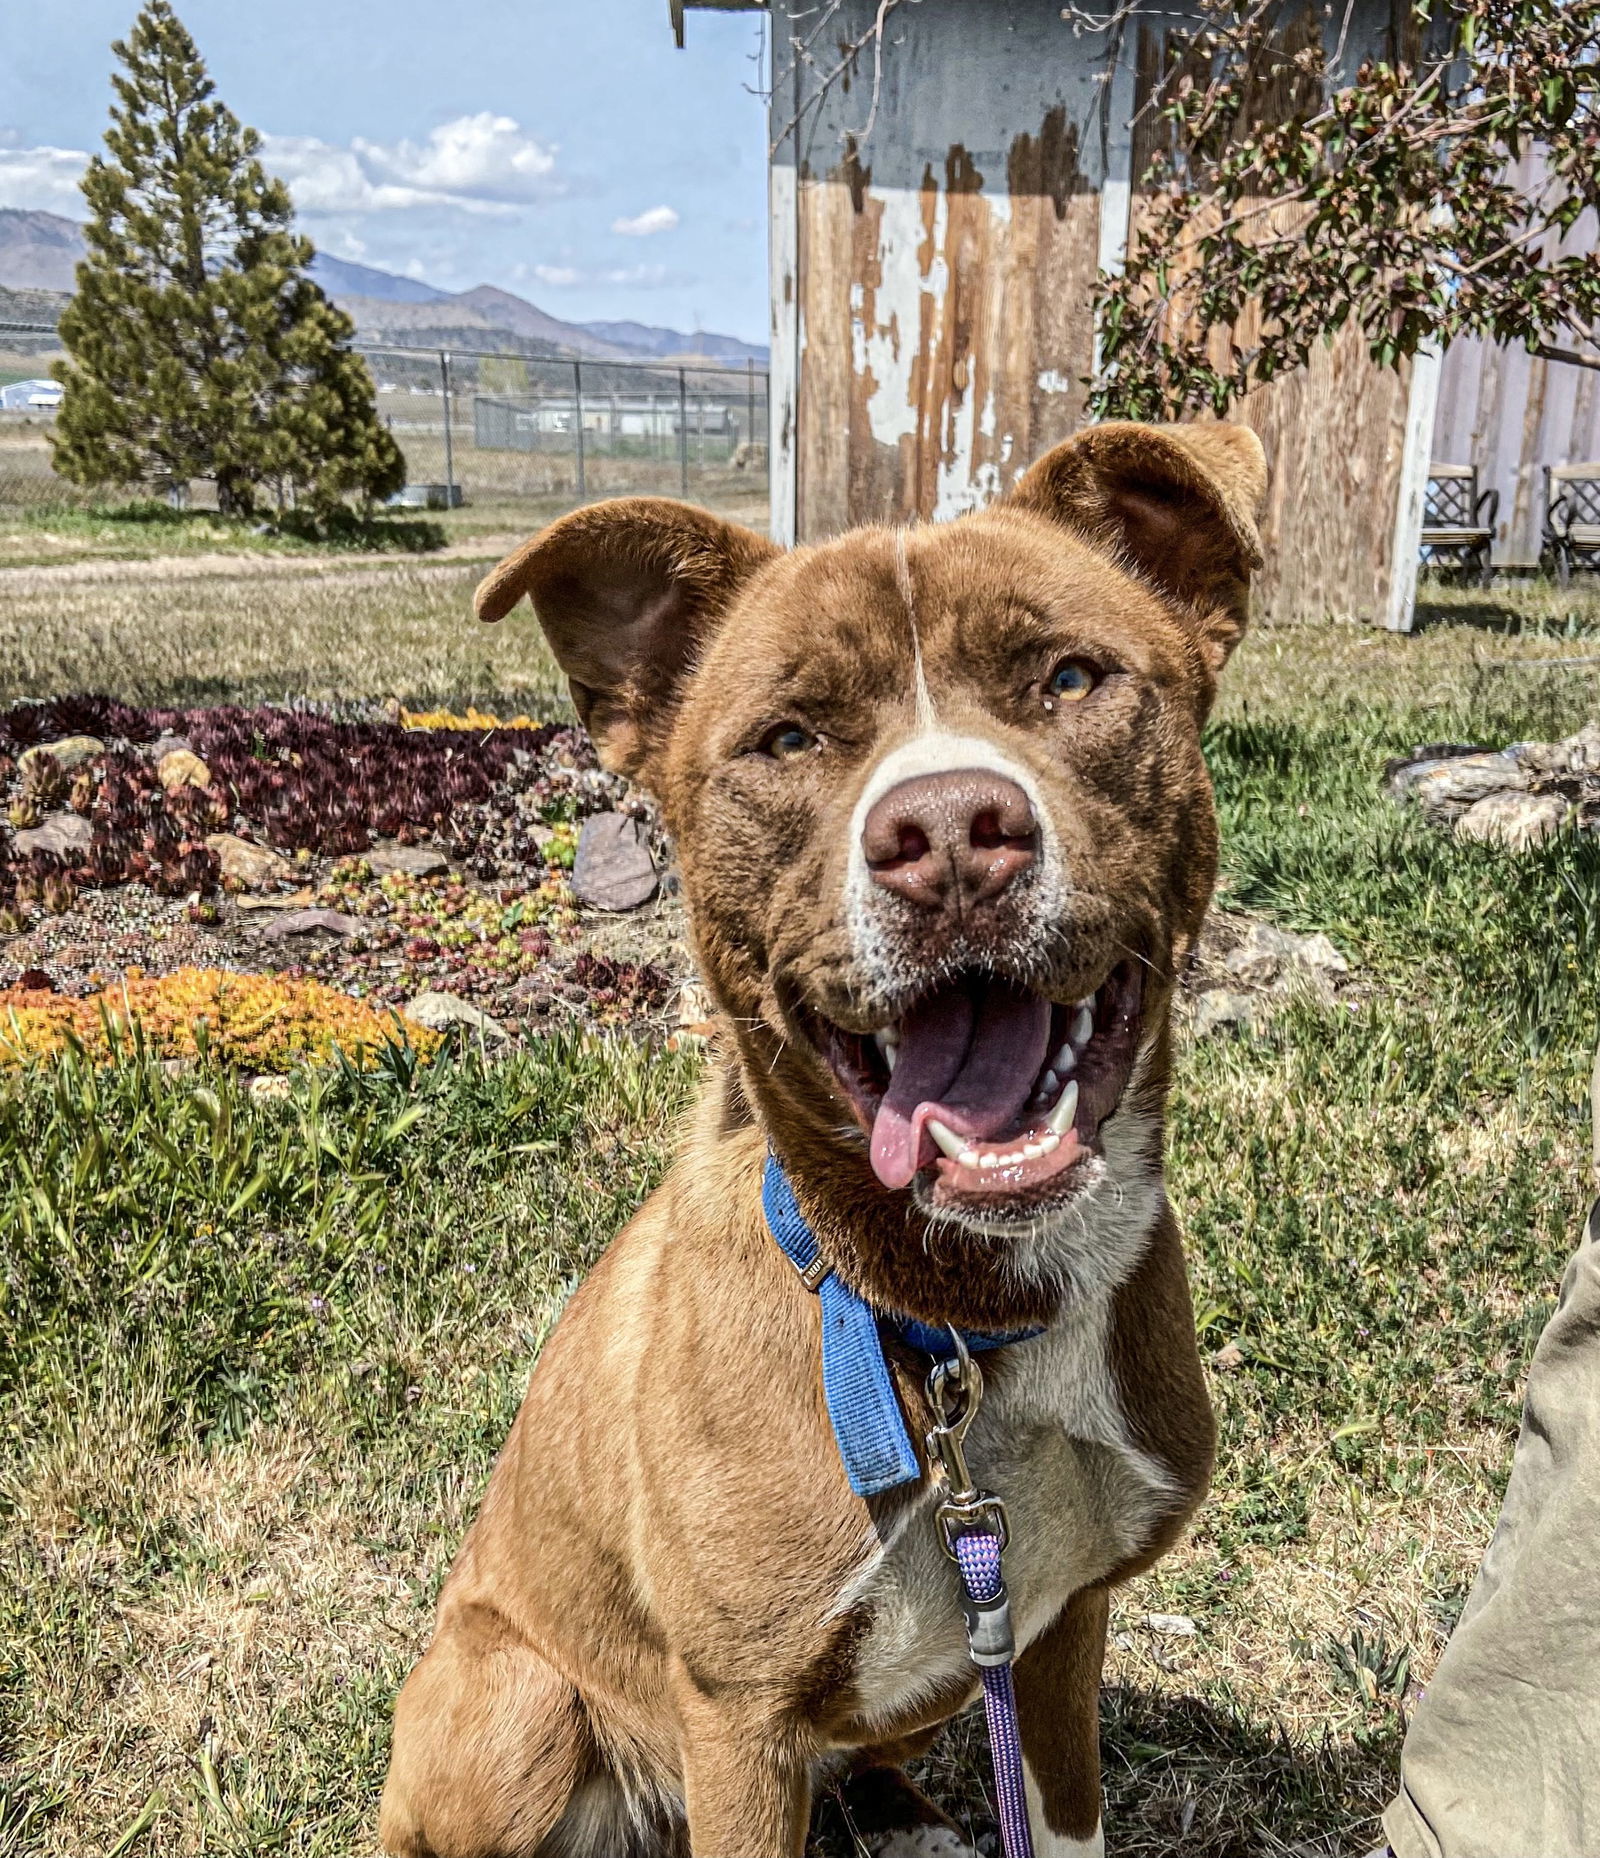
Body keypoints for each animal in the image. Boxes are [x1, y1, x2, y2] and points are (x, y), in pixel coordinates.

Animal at [375, 421, 1263, 1858]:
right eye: (789, 735)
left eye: (1070, 677)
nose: (950, 834)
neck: (956, 1325)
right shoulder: (738, 1718)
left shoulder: (1057, 1628)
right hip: (515, 1704)